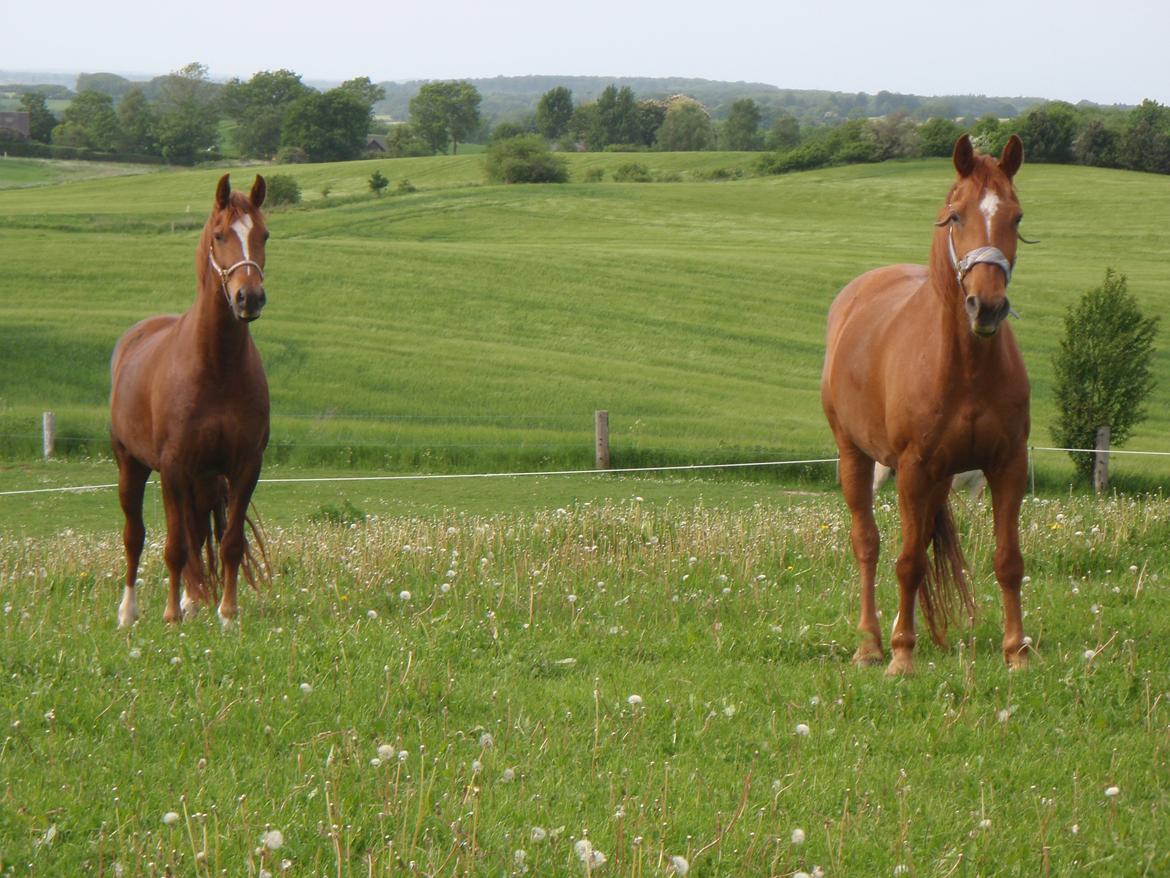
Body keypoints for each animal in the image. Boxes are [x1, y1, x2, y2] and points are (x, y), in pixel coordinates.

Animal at [110, 173, 270, 627]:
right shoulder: (173, 467)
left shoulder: (245, 465)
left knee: (199, 533)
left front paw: (227, 613)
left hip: (204, 479)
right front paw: (169, 616)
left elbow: (229, 541)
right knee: (136, 536)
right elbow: (174, 545)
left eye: (264, 235)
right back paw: (129, 611)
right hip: (131, 465)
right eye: (219, 235)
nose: (249, 298)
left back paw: (193, 600)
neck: (215, 366)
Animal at [823, 135, 1034, 674]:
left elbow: (1008, 560)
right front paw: (901, 656)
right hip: (857, 458)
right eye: (955, 215)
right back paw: (873, 643)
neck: (965, 368)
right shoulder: (914, 468)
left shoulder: (1007, 465)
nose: (988, 306)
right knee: (869, 544)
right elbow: (908, 561)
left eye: (1016, 217)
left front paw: (1017, 652)